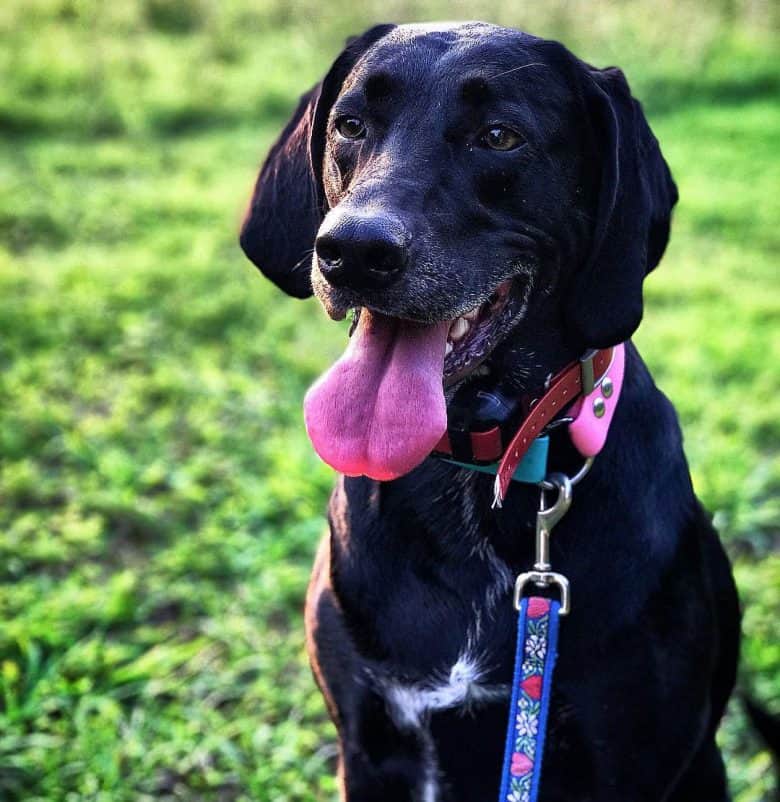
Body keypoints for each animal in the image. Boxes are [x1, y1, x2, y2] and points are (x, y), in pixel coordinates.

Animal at [241, 21, 740, 796]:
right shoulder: (370, 747)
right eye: (350, 125)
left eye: (500, 137)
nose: (351, 251)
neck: (478, 470)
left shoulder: (628, 759)